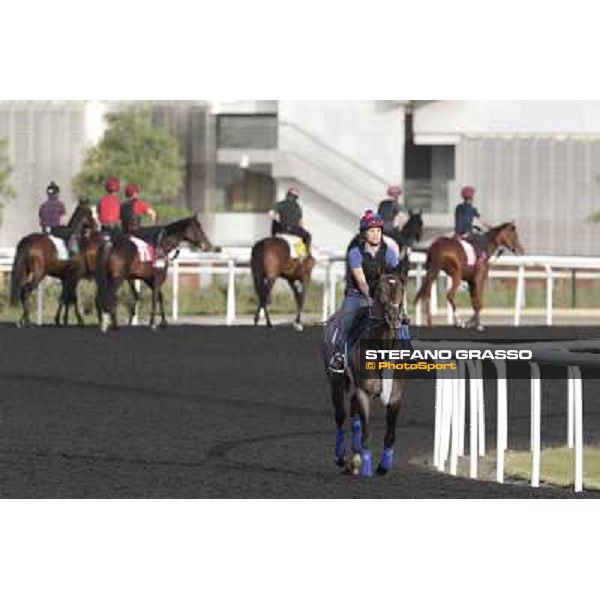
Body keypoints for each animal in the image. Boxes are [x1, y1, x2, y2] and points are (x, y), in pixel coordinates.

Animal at [324, 270, 408, 476]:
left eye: (401, 290)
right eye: (379, 290)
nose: (393, 317)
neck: (383, 351)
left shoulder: (396, 396)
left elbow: (390, 434)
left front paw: (383, 466)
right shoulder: (364, 393)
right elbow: (367, 432)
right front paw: (367, 468)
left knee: (354, 419)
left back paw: (354, 460)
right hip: (336, 382)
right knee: (340, 416)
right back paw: (341, 457)